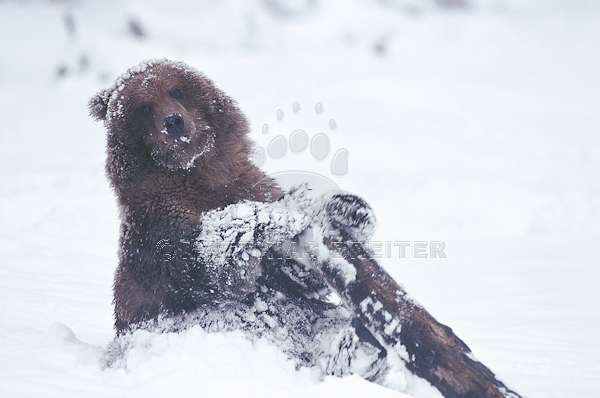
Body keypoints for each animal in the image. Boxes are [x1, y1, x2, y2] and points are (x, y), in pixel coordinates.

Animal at [88, 60, 390, 384]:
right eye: (143, 107)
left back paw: (363, 349)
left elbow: (290, 274)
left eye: (177, 90)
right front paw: (285, 209)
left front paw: (348, 208)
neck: (196, 172)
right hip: (169, 330)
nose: (173, 121)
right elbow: (212, 265)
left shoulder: (245, 184)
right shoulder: (160, 218)